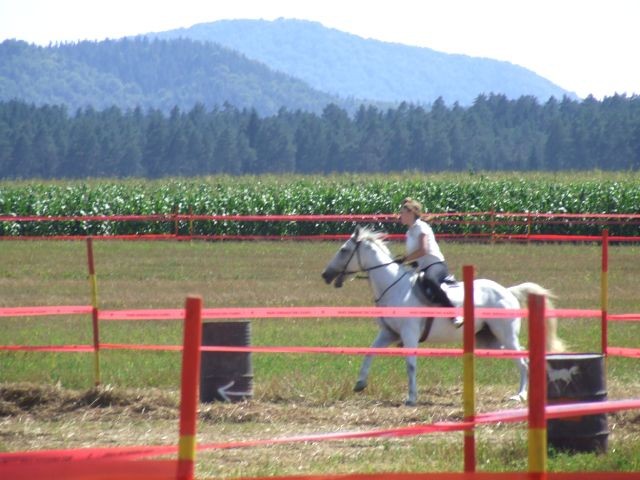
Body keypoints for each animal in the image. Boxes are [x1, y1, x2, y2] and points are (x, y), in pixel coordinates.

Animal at [322, 226, 564, 404]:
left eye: (343, 250)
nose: (325, 275)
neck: (394, 287)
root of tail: (508, 291)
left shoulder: (409, 335)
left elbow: (410, 365)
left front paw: (411, 398)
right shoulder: (388, 333)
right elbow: (369, 353)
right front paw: (360, 384)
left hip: (505, 334)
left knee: (522, 361)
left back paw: (520, 395)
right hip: (492, 340)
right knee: (523, 357)